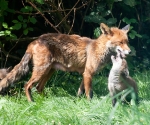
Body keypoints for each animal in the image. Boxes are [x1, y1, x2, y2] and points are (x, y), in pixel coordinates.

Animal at [0, 23, 131, 101]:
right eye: (120, 42)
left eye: (127, 42)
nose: (129, 52)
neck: (99, 49)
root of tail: (35, 41)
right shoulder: (88, 73)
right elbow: (89, 93)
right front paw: (90, 104)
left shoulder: (85, 74)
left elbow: (80, 91)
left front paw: (78, 102)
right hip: (41, 71)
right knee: (27, 85)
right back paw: (32, 102)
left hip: (49, 71)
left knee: (38, 88)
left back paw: (47, 102)